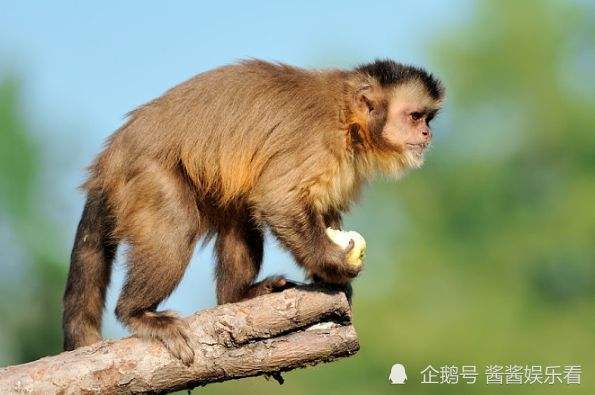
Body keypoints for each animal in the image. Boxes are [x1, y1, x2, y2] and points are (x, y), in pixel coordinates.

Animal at [62, 58, 444, 366]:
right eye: (415, 117)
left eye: (428, 118)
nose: (427, 133)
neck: (348, 119)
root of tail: (111, 156)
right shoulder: (319, 142)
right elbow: (279, 200)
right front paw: (333, 264)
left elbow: (320, 212)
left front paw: (328, 278)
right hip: (145, 174)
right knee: (177, 224)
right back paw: (138, 313)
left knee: (240, 212)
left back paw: (235, 297)